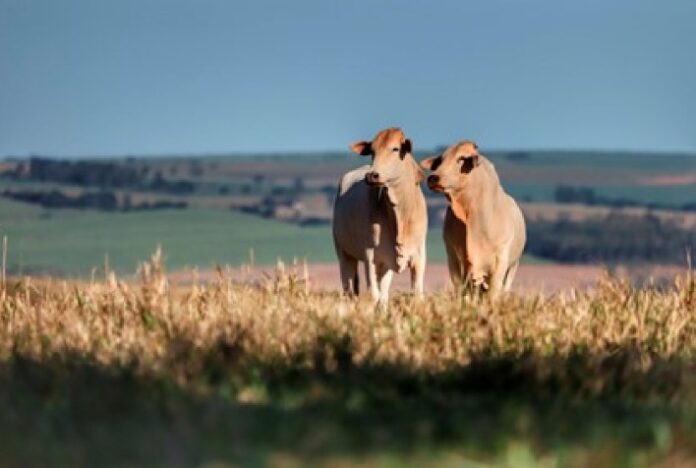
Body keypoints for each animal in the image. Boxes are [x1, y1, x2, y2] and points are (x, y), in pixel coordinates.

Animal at [330, 126, 424, 306]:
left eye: (395, 149)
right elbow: (373, 294)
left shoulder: (418, 257)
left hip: (384, 265)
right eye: (372, 151)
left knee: (384, 293)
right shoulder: (370, 256)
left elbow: (416, 295)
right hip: (344, 254)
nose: (372, 176)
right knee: (349, 289)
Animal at [418, 140, 528, 300]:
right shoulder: (455, 261)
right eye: (440, 160)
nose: (433, 178)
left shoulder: (500, 264)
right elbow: (463, 294)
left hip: (513, 267)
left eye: (462, 158)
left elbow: (493, 295)